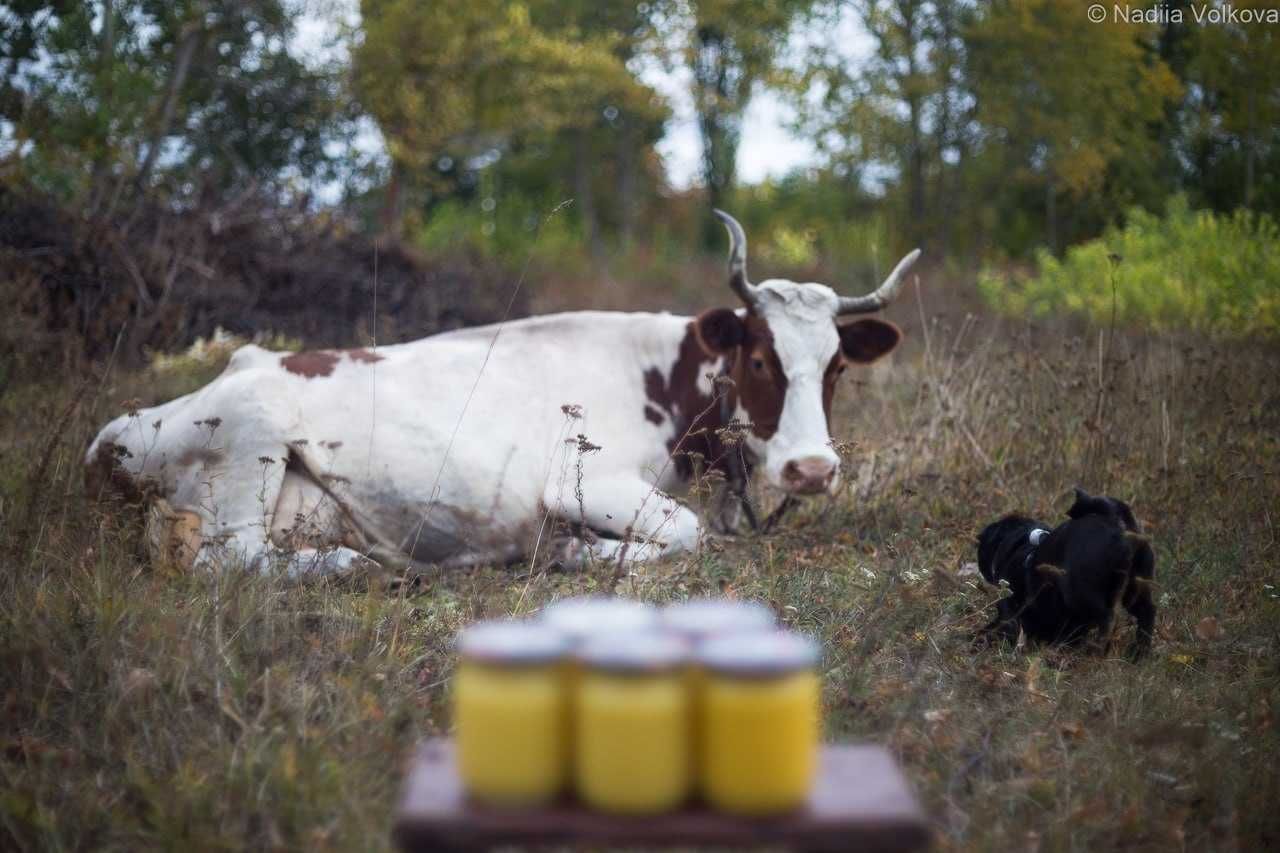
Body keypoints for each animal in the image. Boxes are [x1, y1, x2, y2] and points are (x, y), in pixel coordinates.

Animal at [82, 212, 921, 578]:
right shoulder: (582, 478)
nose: (812, 469)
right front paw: (572, 549)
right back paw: (360, 563)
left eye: (837, 367)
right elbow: (685, 533)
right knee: (224, 559)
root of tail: (116, 431)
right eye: (756, 356)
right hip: (247, 448)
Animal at [977, 484, 1162, 655]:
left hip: (1079, 593)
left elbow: (1003, 625)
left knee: (1107, 618)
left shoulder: (1008, 608)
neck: (1021, 545)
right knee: (1147, 611)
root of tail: (1116, 527)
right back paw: (1138, 652)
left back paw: (1095, 651)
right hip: (1135, 589)